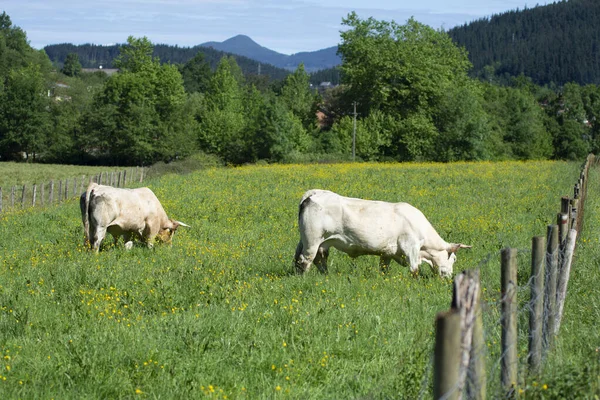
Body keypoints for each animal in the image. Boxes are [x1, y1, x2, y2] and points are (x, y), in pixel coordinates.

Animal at [292, 189, 472, 276]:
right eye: (454, 259)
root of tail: (315, 193)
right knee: (305, 260)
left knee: (316, 260)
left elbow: (384, 268)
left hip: (318, 242)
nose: (449, 277)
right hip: (312, 240)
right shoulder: (411, 247)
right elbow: (414, 270)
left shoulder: (387, 253)